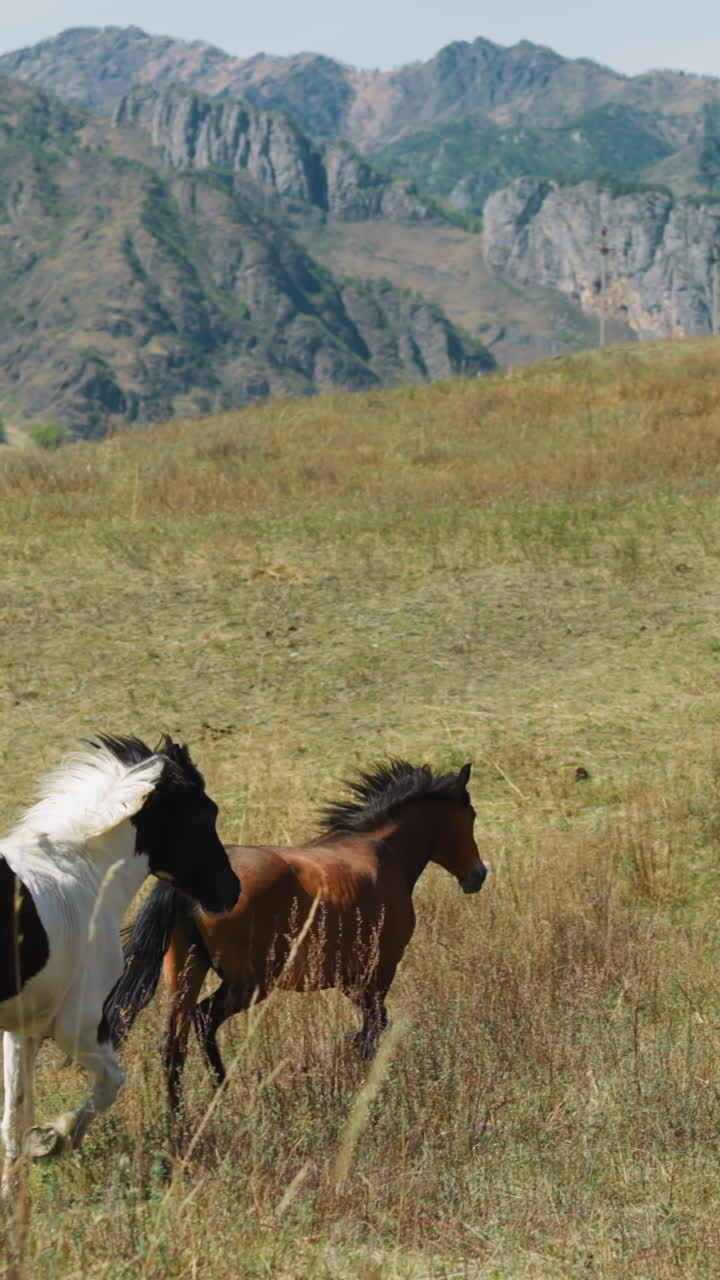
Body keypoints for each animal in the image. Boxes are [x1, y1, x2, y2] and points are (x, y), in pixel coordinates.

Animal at [0, 734, 239, 1194]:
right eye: (207, 814)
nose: (231, 891)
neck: (81, 874)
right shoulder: (79, 1027)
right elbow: (112, 1081)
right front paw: (54, 1138)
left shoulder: (25, 1030)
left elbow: (14, 1121)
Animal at [107, 759, 487, 1114]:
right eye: (471, 816)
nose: (478, 874)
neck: (380, 852)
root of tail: (188, 889)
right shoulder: (379, 971)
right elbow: (374, 1029)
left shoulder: (351, 980)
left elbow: (369, 1029)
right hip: (248, 984)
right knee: (202, 1022)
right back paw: (222, 1088)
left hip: (186, 973)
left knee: (173, 1042)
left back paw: (179, 1117)